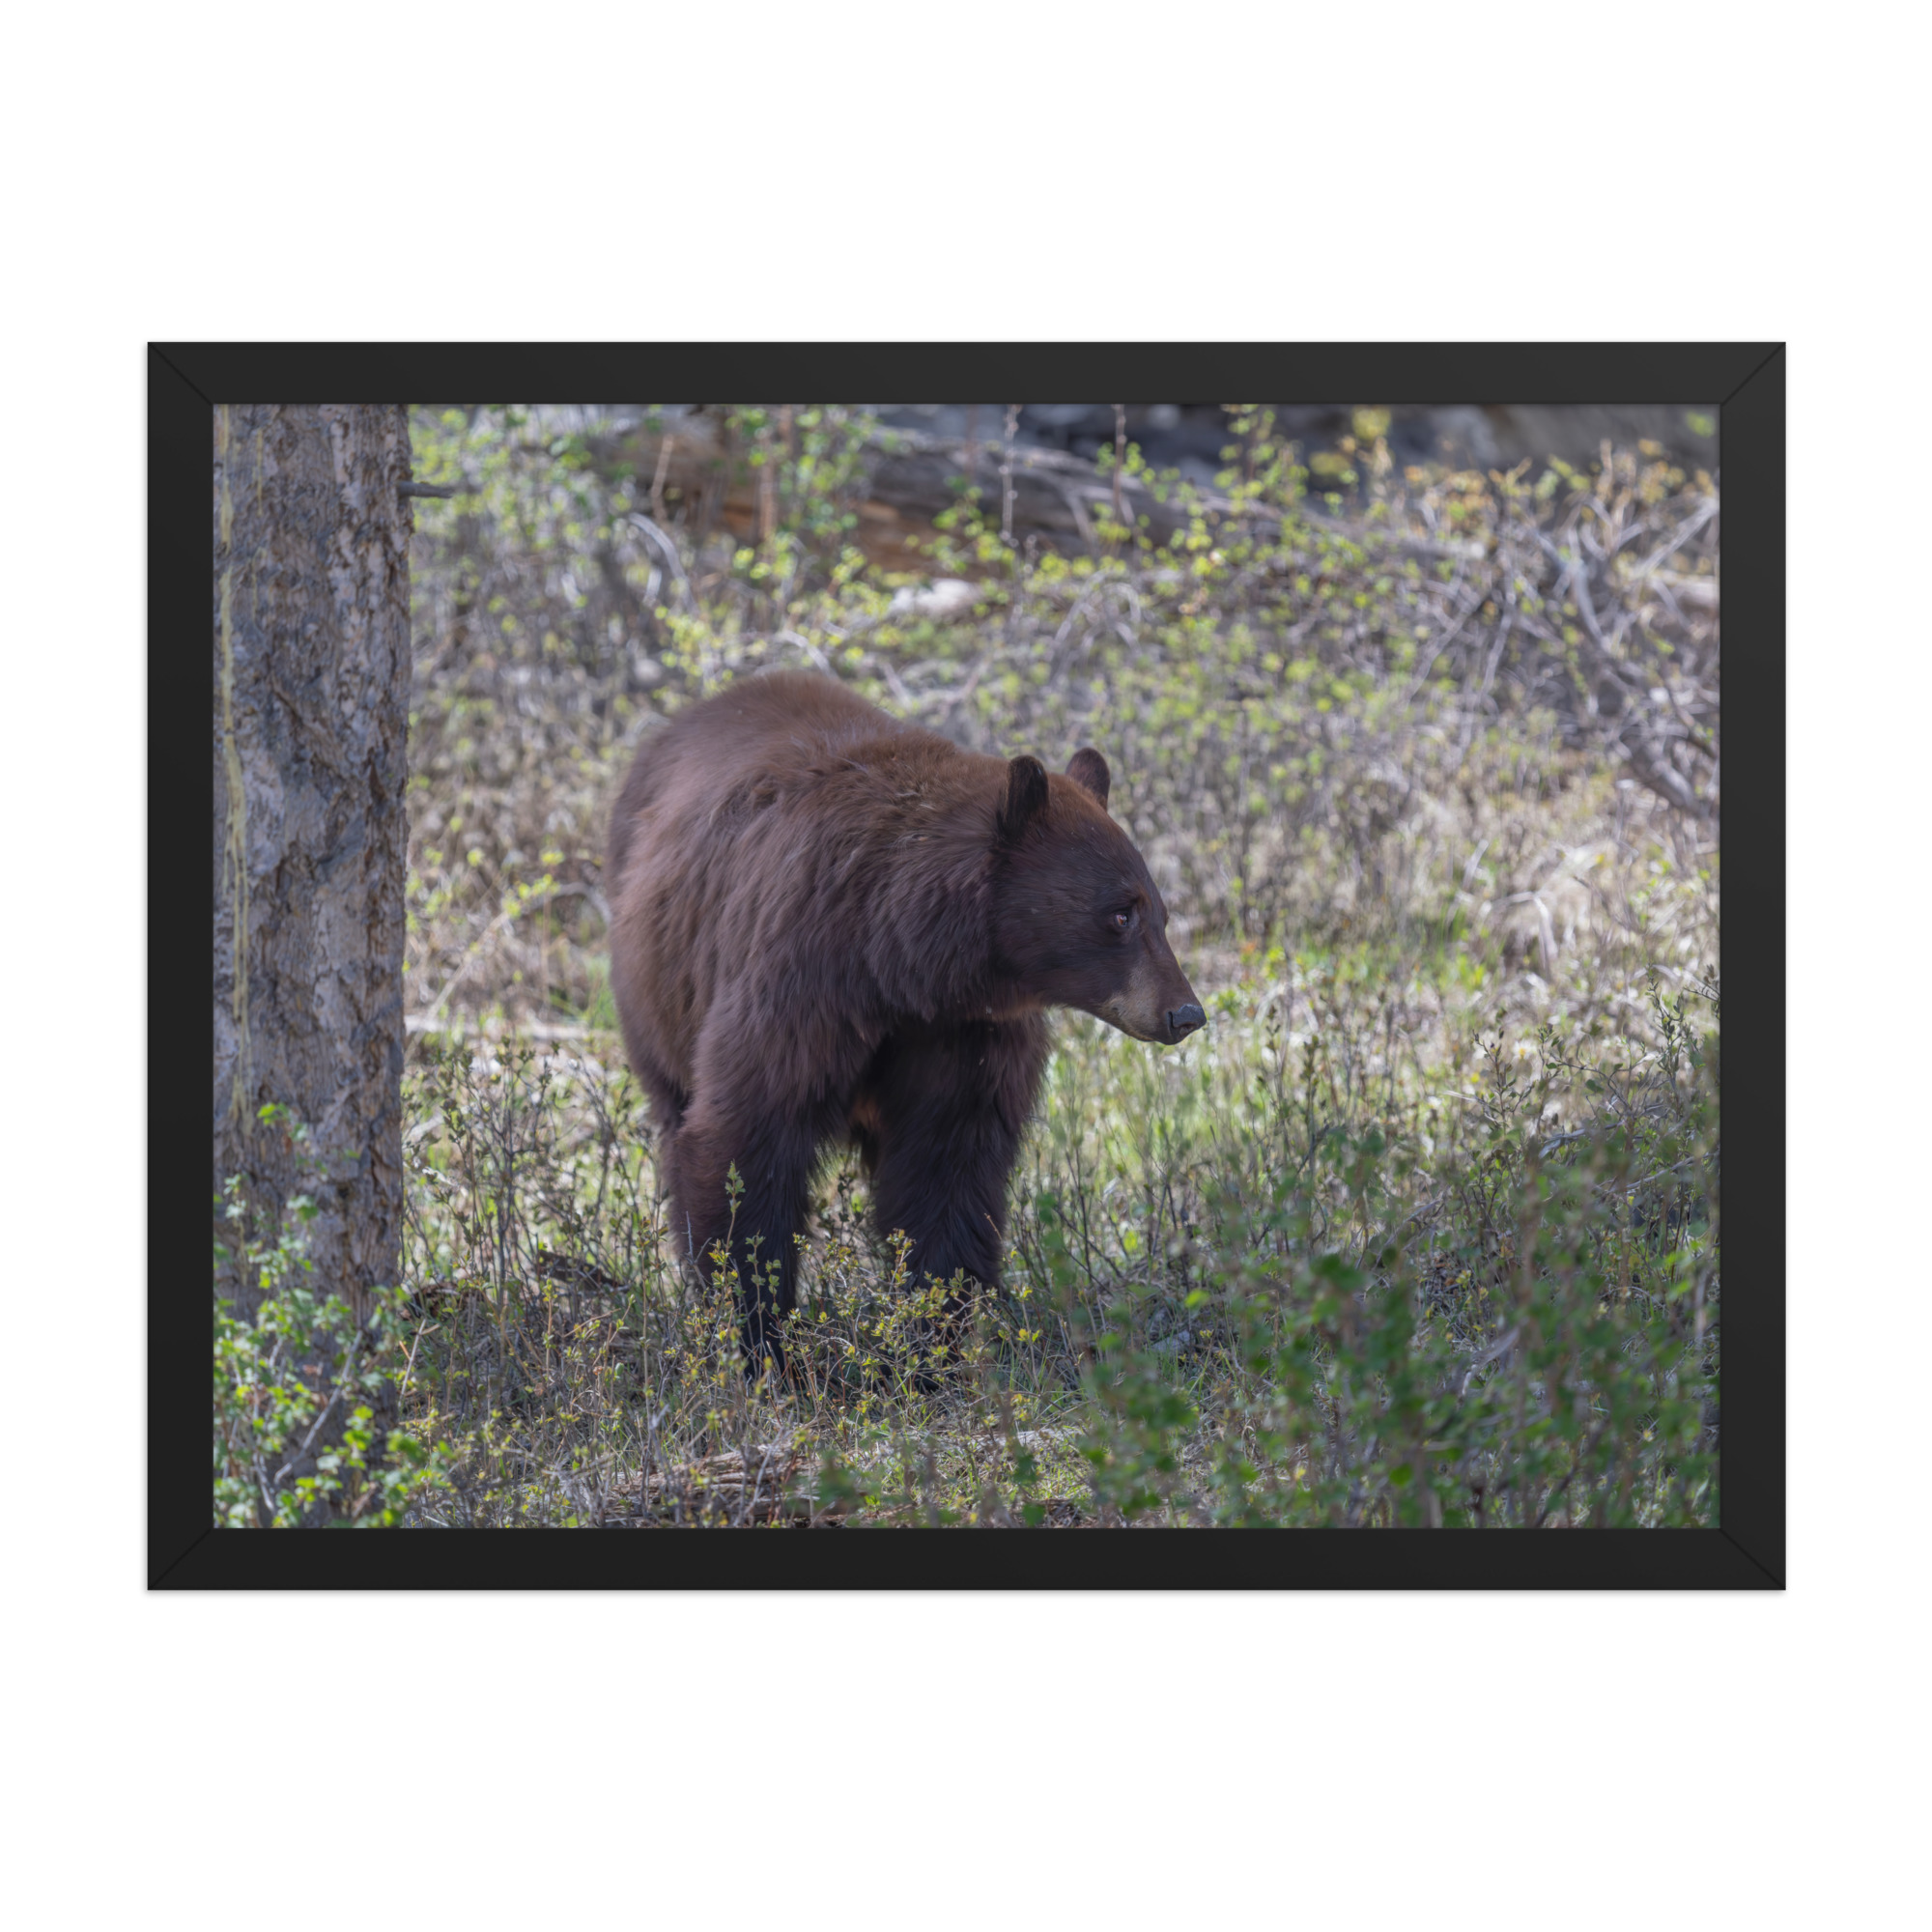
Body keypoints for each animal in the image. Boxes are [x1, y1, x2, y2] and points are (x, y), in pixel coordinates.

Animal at [603, 669, 1203, 1373]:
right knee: (676, 1120)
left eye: (1159, 912)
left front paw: (930, 1342)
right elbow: (747, 1138)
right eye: (1119, 914)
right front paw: (762, 1344)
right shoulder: (800, 979)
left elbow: (948, 1166)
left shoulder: (963, 1033)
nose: (1185, 1012)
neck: (899, 961)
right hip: (657, 993)